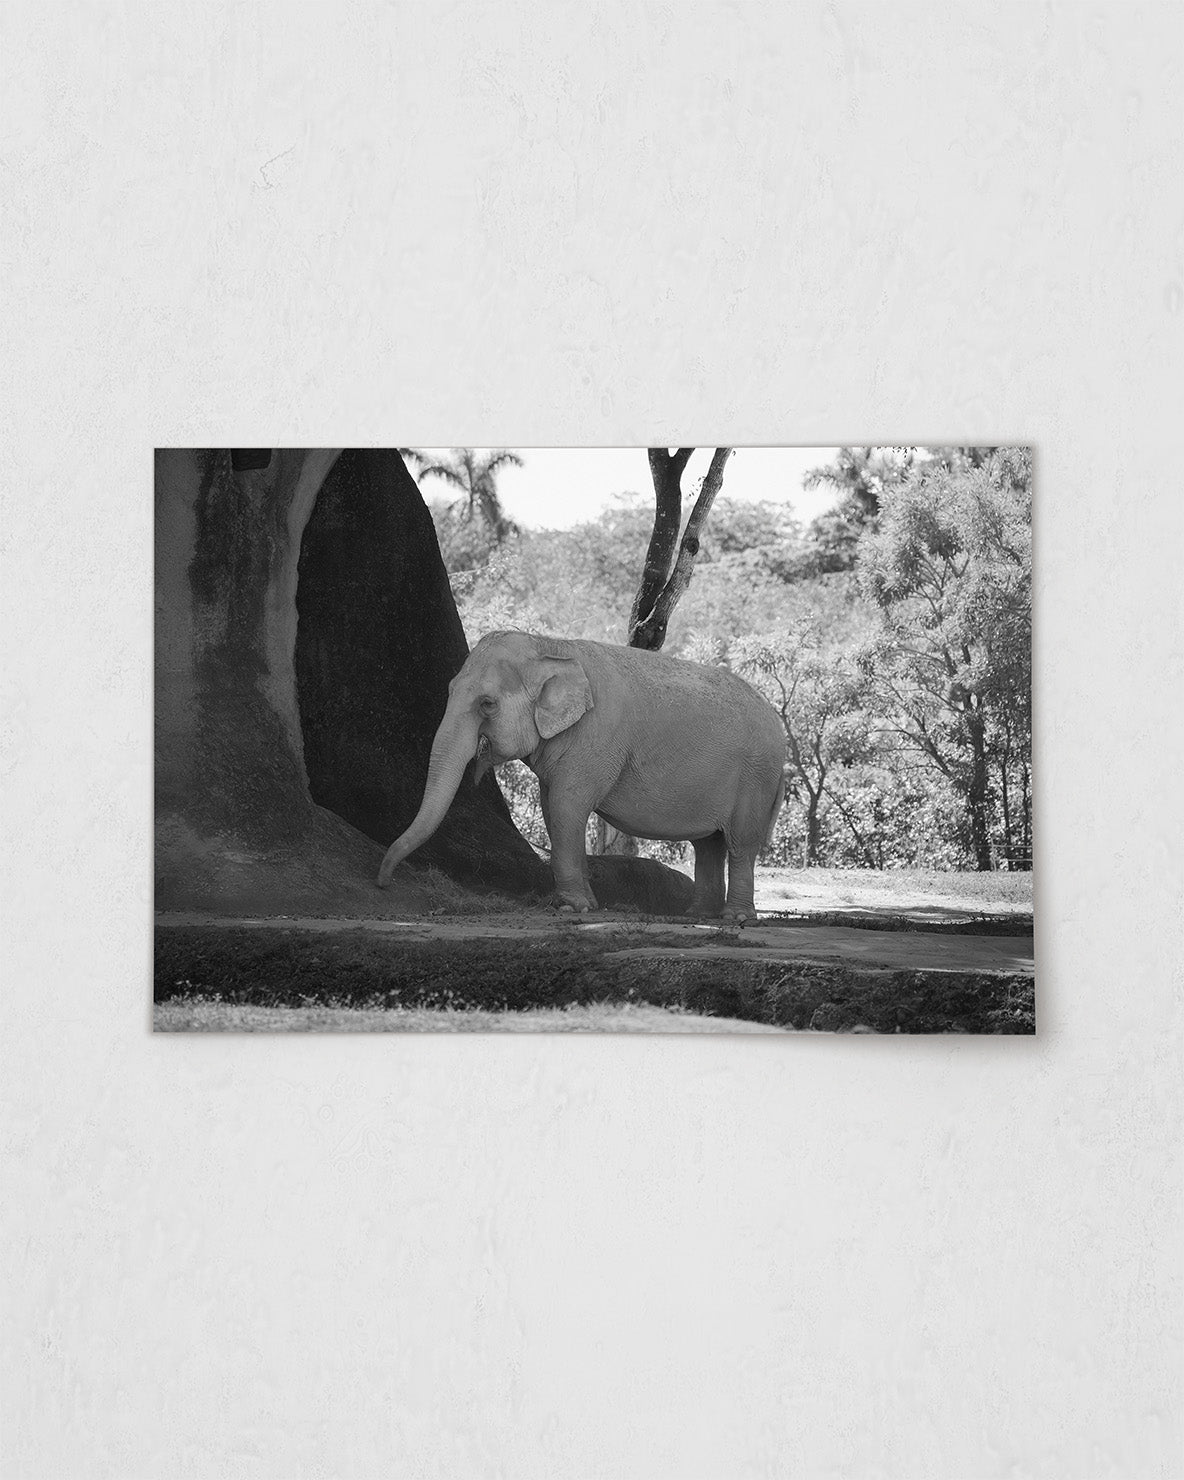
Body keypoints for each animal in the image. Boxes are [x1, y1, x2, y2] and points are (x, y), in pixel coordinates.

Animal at [377, 630, 787, 918]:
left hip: (757, 777)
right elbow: (552, 806)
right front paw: (582, 905)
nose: (383, 883)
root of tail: (777, 721)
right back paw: (698, 916)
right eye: (450, 690)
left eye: (487, 704)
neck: (550, 645)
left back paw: (735, 917)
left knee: (740, 843)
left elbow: (566, 805)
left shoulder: (596, 738)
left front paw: (574, 908)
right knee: (709, 844)